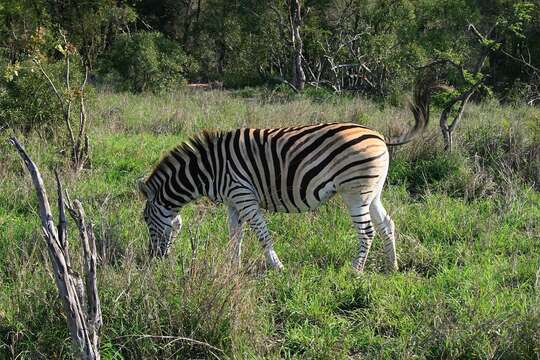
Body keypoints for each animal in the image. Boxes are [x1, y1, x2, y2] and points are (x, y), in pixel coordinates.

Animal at [138, 82, 430, 272]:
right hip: (372, 191)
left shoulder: (244, 196)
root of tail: (379, 135)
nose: (153, 259)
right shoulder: (233, 202)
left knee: (367, 231)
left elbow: (262, 234)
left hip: (354, 192)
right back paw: (392, 267)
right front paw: (232, 268)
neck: (210, 169)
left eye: (145, 220)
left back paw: (355, 271)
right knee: (386, 224)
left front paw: (277, 267)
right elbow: (235, 236)